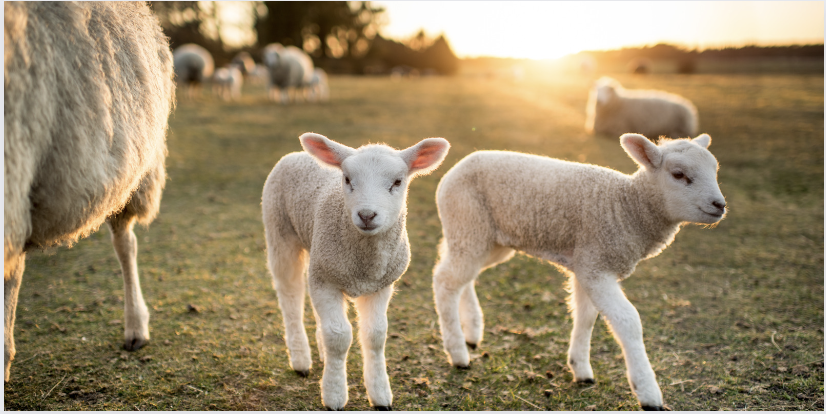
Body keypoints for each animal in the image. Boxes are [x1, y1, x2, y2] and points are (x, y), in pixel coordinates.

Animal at [260, 133, 448, 410]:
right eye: (347, 179)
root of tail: (297, 154)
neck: (364, 264)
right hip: (280, 232)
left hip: (317, 255)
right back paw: (301, 360)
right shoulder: (326, 280)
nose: (367, 215)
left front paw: (380, 395)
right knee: (290, 296)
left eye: (397, 182)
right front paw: (334, 395)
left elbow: (375, 335)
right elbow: (338, 336)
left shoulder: (379, 285)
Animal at [428, 132, 724, 408]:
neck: (627, 206)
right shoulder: (596, 266)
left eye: (714, 170)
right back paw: (458, 353)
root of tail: (459, 165)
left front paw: (581, 369)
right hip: (468, 223)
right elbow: (628, 321)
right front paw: (648, 392)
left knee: (462, 275)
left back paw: (472, 332)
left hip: (487, 239)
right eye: (678, 174)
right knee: (445, 281)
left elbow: (586, 316)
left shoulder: (586, 264)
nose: (719, 205)